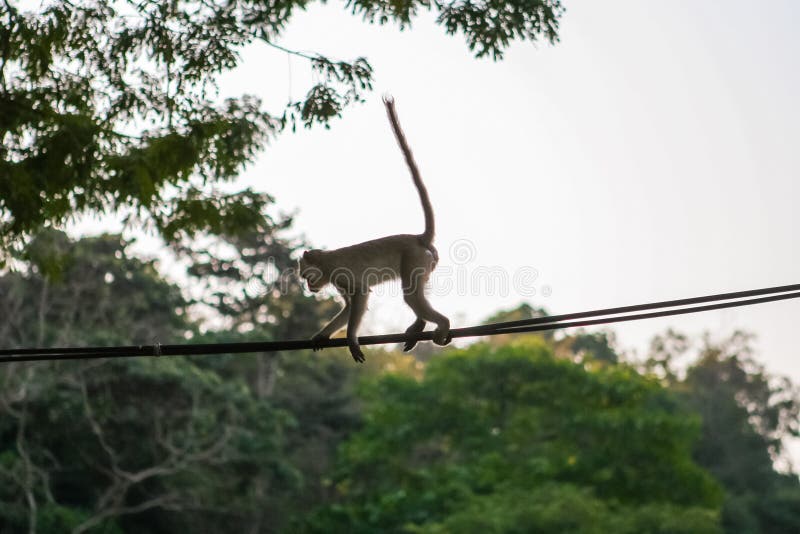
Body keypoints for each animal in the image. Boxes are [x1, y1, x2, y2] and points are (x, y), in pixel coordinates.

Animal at [298, 96, 450, 364]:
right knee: (416, 291)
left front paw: (351, 339)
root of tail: (418, 238)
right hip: (427, 261)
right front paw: (322, 335)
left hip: (414, 257)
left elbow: (360, 295)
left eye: (306, 276)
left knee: (411, 295)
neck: (325, 262)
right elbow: (349, 307)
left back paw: (442, 324)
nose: (309, 287)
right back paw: (420, 325)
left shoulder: (337, 272)